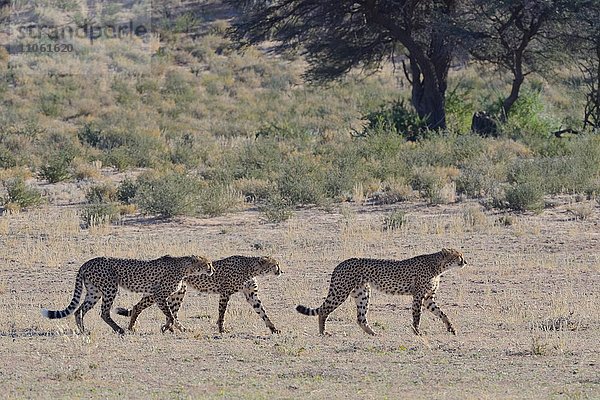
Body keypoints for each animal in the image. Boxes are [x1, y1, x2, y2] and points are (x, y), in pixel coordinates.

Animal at [41, 256, 213, 334]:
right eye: (207, 264)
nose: (212, 270)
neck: (184, 267)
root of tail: (87, 262)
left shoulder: (156, 294)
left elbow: (170, 315)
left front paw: (174, 328)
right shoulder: (158, 295)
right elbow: (170, 315)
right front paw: (166, 327)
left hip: (94, 292)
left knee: (79, 310)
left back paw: (84, 330)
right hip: (110, 288)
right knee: (104, 312)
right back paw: (119, 330)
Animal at [115, 256, 284, 334]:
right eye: (275, 264)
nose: (281, 271)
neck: (251, 268)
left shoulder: (251, 295)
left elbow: (263, 312)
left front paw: (273, 328)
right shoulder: (225, 293)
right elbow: (222, 313)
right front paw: (221, 329)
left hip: (178, 292)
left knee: (172, 313)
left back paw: (174, 329)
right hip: (161, 292)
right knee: (138, 307)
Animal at [298, 248, 466, 336]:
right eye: (459, 256)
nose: (465, 261)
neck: (438, 266)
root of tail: (340, 263)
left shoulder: (428, 298)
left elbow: (442, 313)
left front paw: (451, 328)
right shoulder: (418, 296)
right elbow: (417, 316)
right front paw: (417, 332)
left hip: (362, 293)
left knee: (360, 318)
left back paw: (373, 333)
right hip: (341, 291)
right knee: (323, 311)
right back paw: (323, 332)